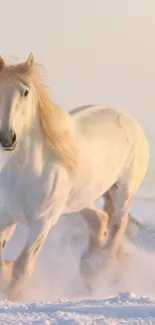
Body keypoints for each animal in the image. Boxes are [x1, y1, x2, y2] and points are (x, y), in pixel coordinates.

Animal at [0, 53, 149, 298]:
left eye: (25, 92)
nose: (7, 138)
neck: (25, 173)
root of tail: (127, 118)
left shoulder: (42, 223)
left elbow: (22, 268)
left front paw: (14, 298)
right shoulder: (6, 216)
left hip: (124, 192)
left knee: (117, 226)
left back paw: (102, 271)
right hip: (80, 200)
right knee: (100, 221)